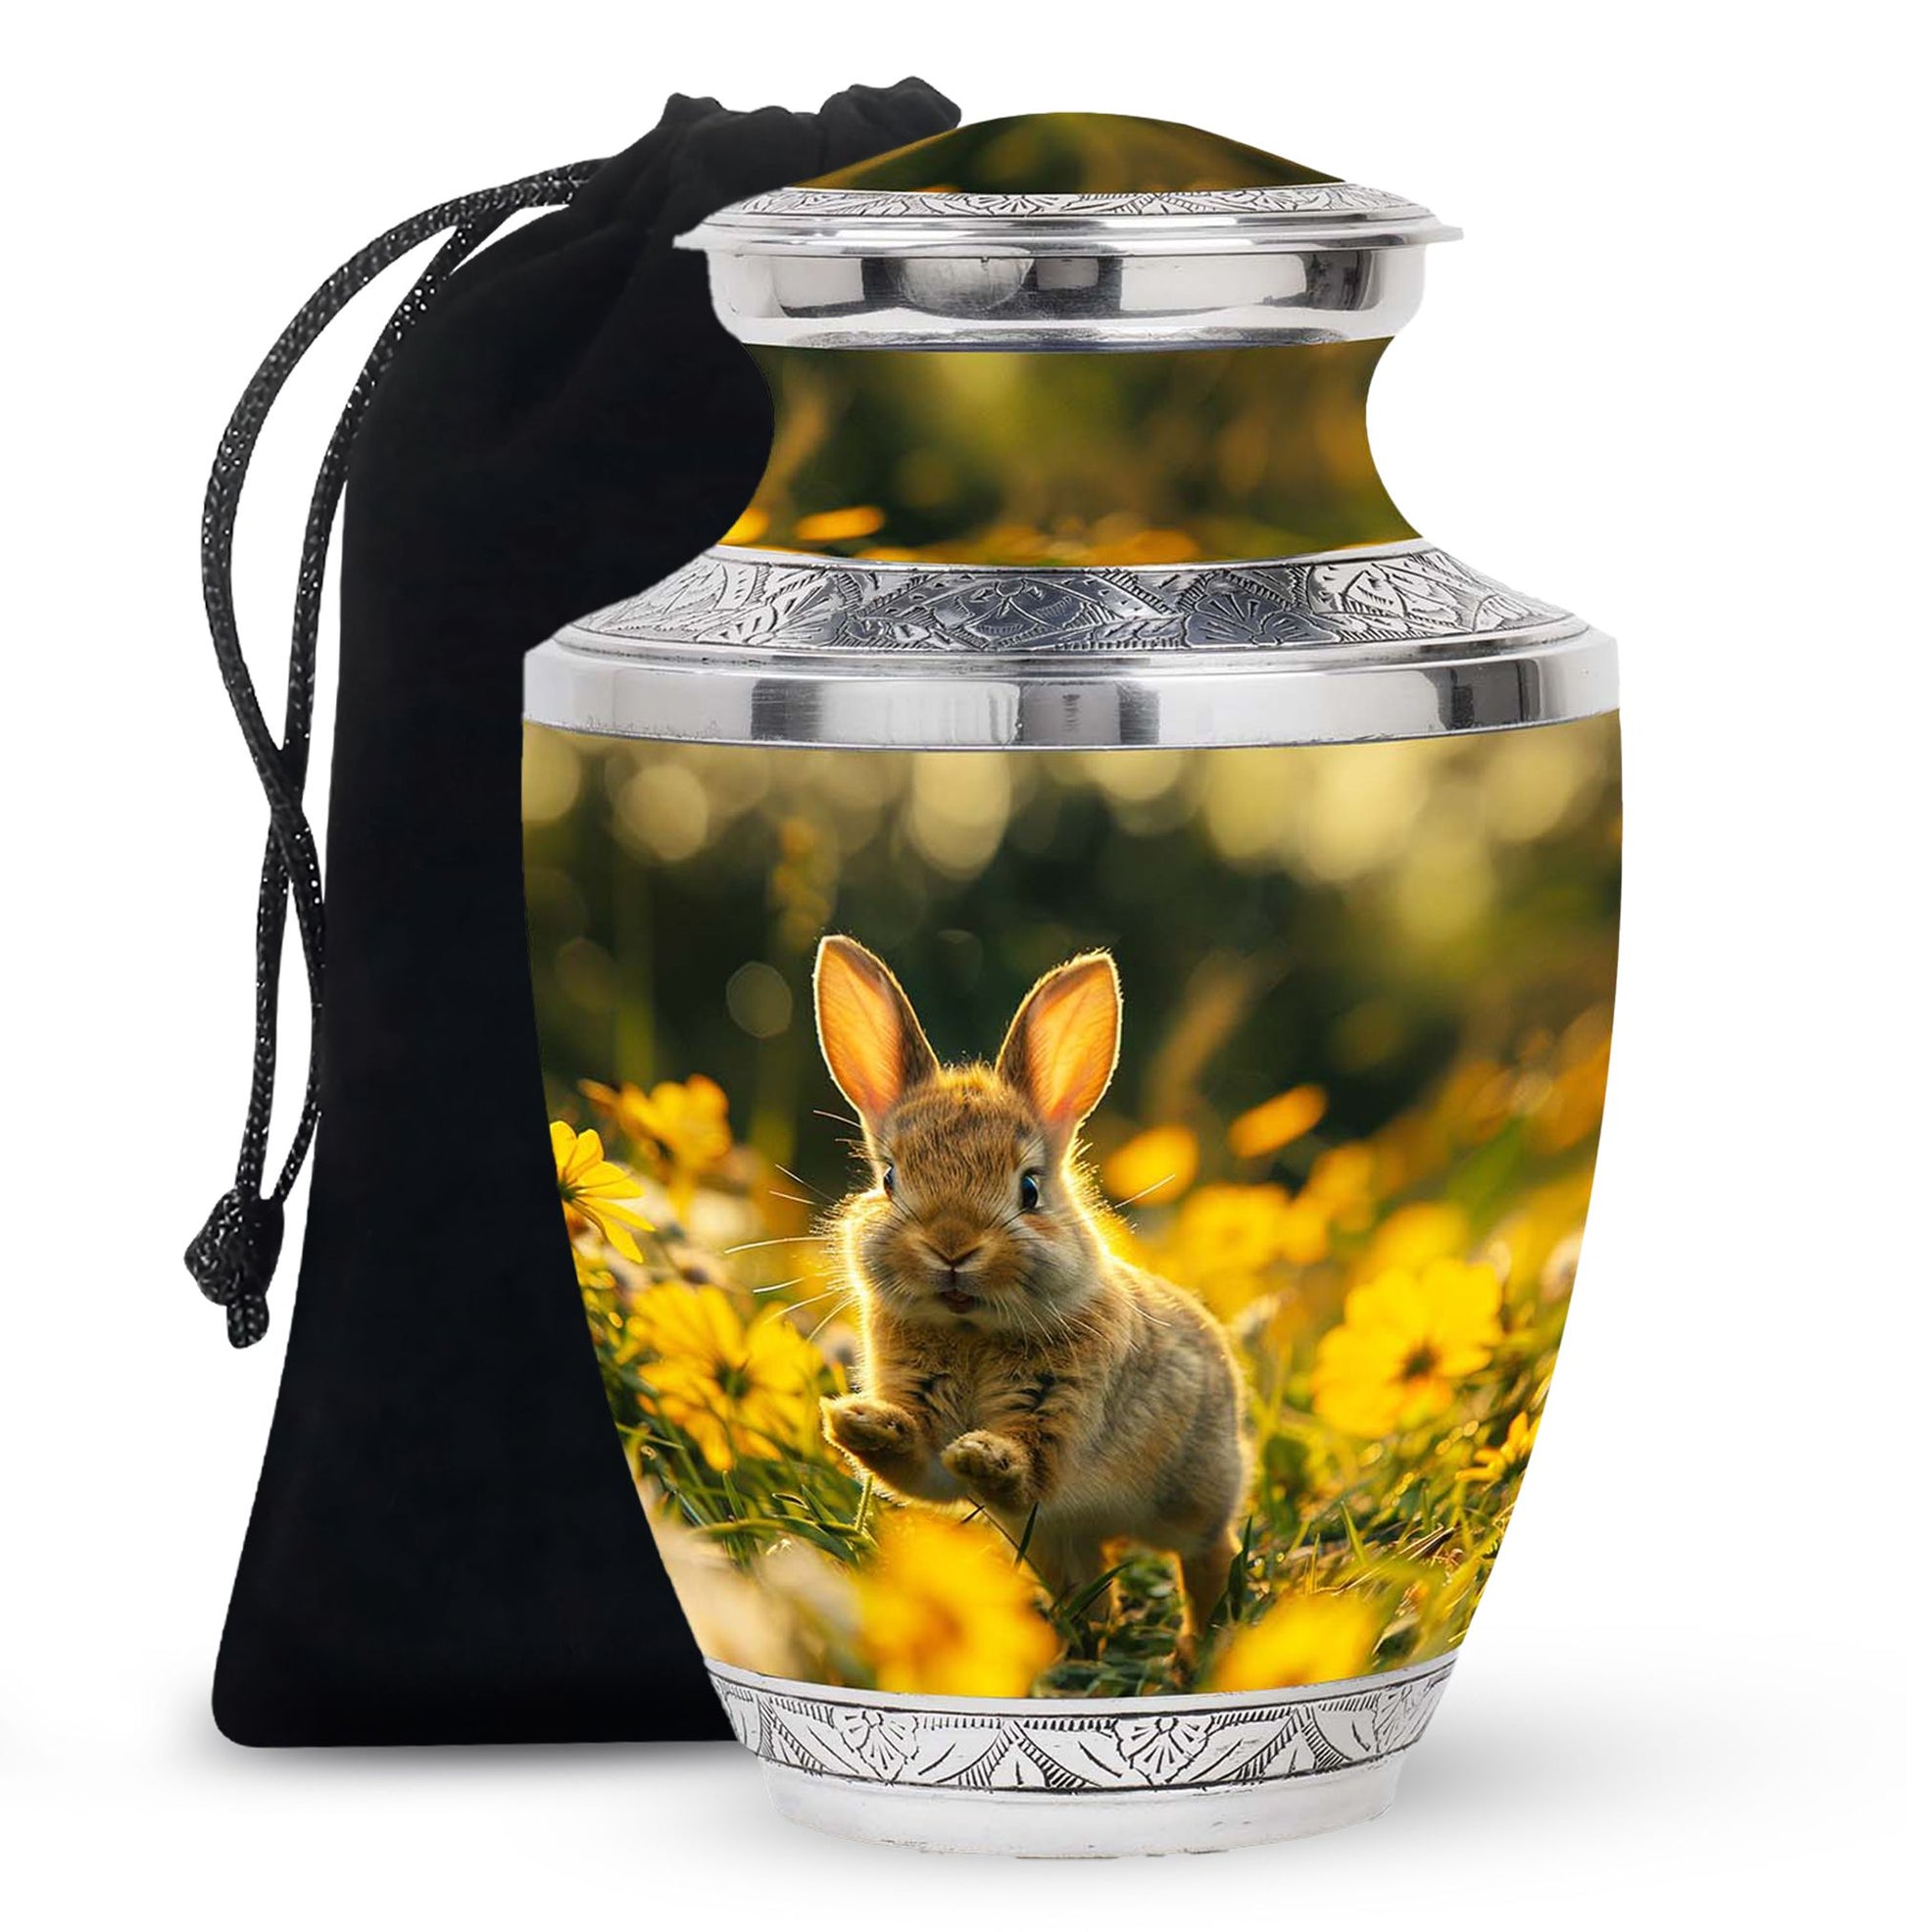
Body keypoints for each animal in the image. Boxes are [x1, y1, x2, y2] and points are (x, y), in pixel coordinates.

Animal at [812, 933, 1247, 1650]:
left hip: (1194, 1495)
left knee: (1210, 1555)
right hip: (1060, 1546)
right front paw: (860, 1421)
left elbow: (1027, 1469)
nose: (953, 1245)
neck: (971, 1331)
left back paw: (1191, 1651)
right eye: (890, 1179)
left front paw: (984, 1453)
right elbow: (921, 1465)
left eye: (1030, 1188)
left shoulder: (1059, 1415)